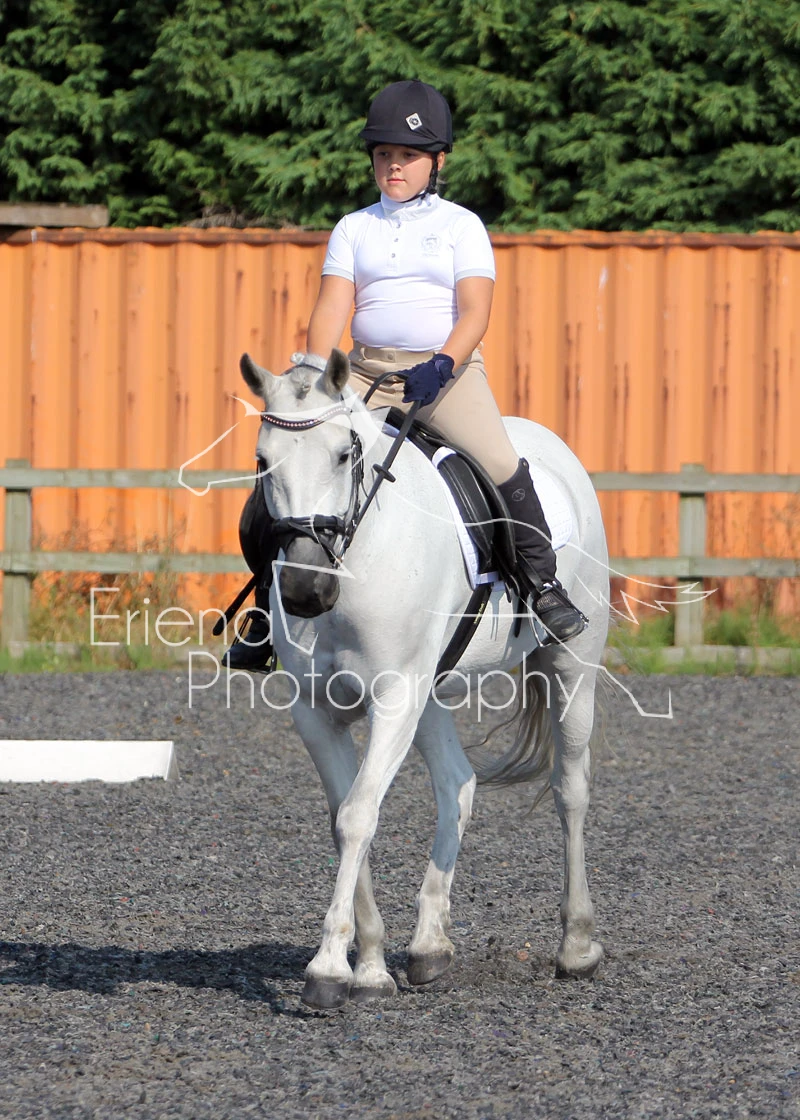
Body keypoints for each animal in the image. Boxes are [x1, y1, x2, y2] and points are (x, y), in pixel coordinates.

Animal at [238, 348, 610, 1010]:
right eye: (262, 462)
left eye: (345, 454)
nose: (306, 589)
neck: (355, 564)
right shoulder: (316, 712)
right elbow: (342, 819)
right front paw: (369, 966)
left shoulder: (393, 700)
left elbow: (358, 815)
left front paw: (328, 970)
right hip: (430, 692)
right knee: (458, 784)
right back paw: (430, 946)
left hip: (571, 666)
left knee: (570, 790)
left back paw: (576, 946)